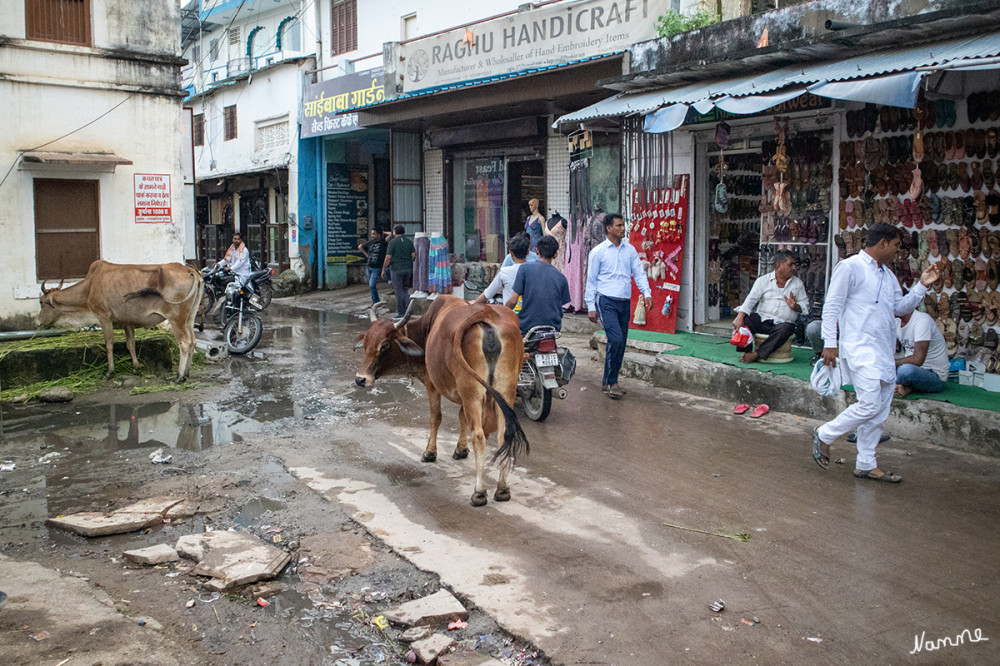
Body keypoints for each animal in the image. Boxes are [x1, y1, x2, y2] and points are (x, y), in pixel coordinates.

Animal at [39, 262, 203, 382]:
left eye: (41, 302)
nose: (38, 321)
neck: (89, 287)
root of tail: (190, 270)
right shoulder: (126, 321)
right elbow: (130, 343)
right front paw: (136, 367)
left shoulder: (104, 317)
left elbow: (109, 344)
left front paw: (109, 372)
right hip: (189, 318)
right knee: (193, 342)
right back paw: (186, 374)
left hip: (176, 318)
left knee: (184, 343)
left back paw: (179, 376)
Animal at [358, 294, 532, 504]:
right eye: (366, 343)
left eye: (383, 346)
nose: (360, 379)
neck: (426, 330)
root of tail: (486, 312)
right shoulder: (464, 397)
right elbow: (461, 417)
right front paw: (461, 450)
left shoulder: (432, 384)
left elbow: (436, 418)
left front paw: (430, 452)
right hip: (505, 392)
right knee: (503, 435)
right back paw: (503, 489)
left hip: (473, 392)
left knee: (479, 436)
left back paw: (479, 492)